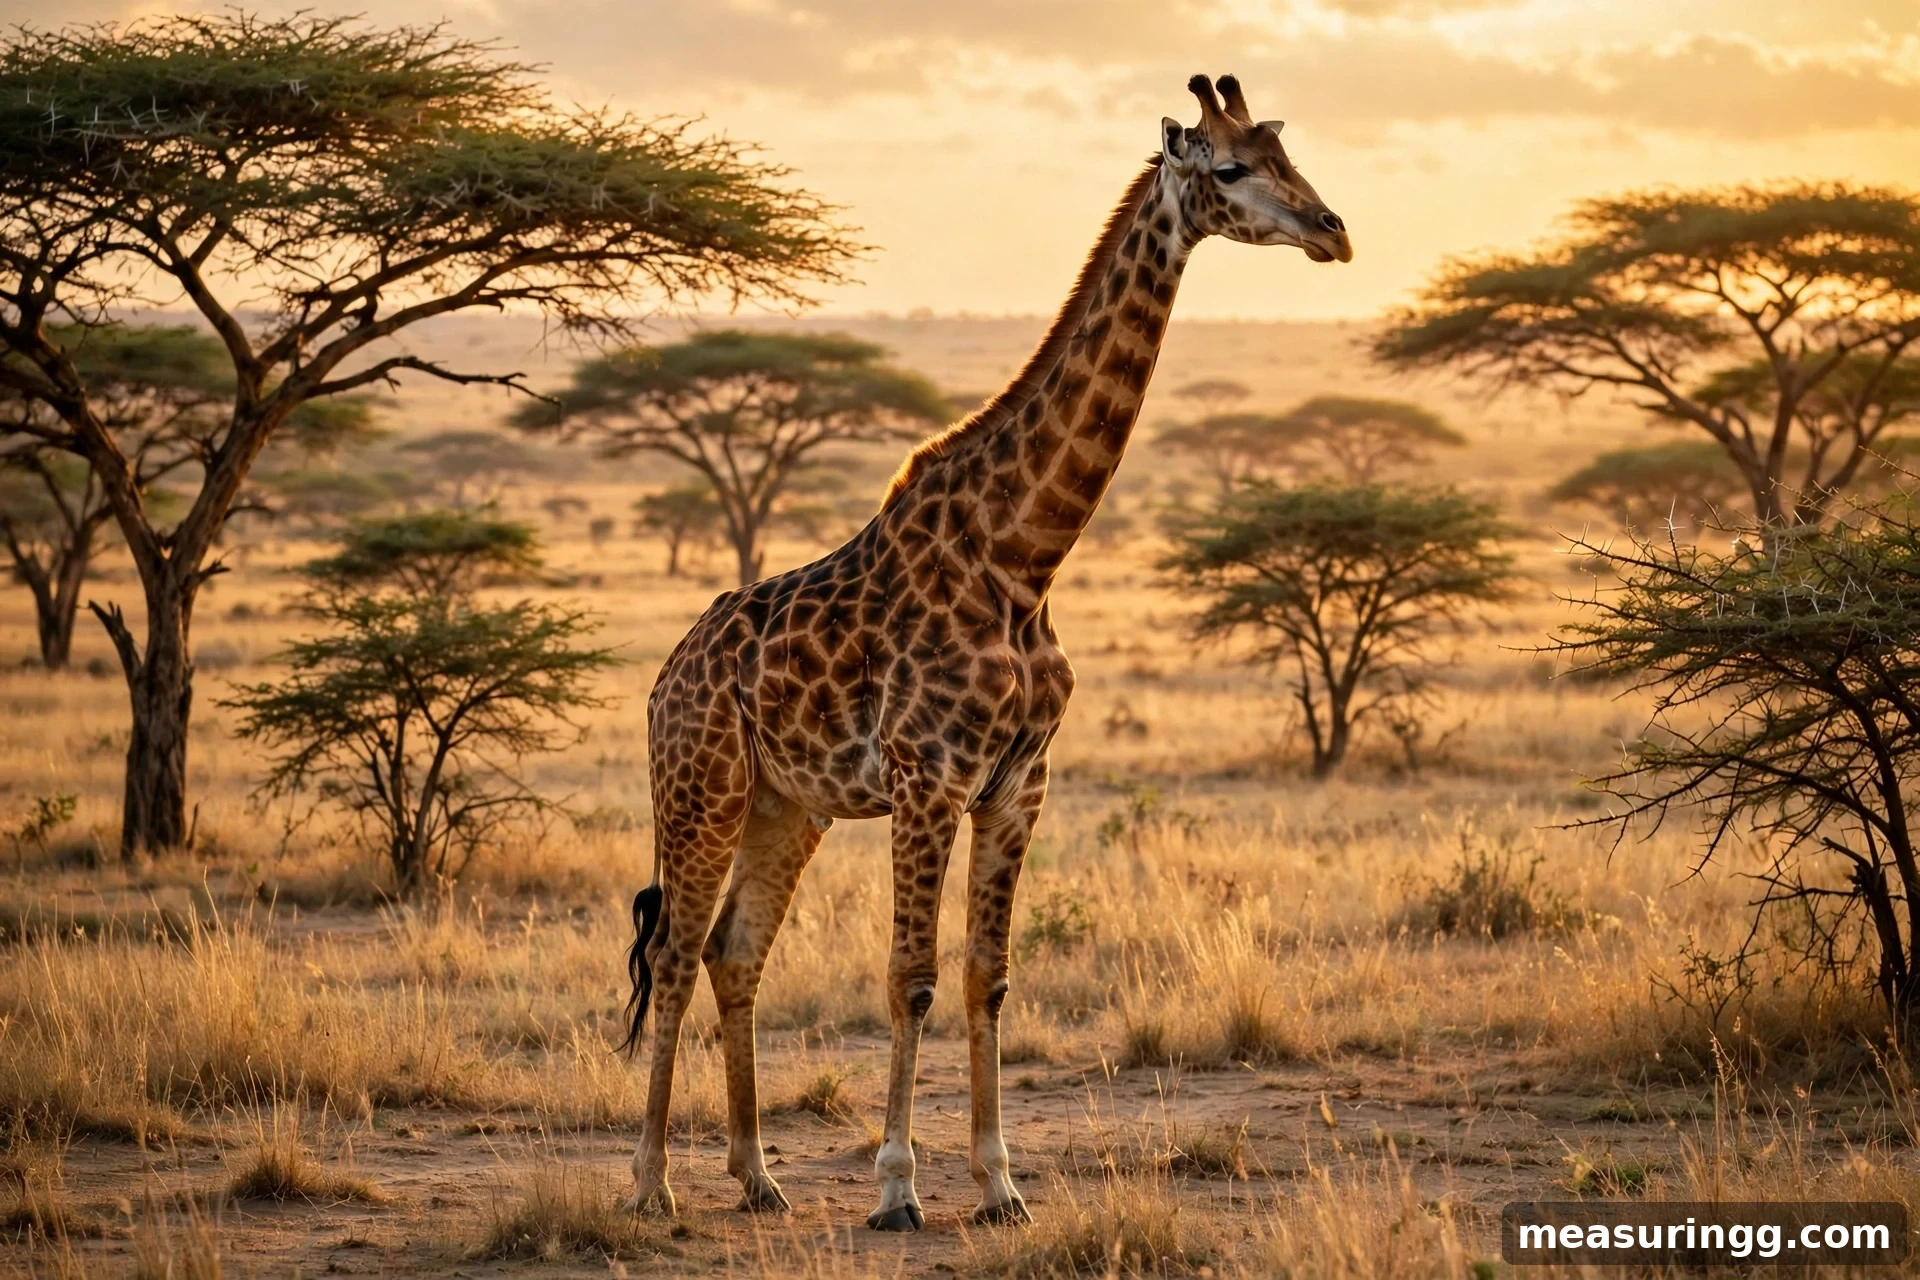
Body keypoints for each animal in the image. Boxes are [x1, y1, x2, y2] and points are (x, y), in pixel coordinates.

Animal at [618, 73, 1352, 1231]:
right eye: (1231, 167)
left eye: (1290, 157)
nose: (1333, 230)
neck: (1024, 556)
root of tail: (665, 676)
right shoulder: (929, 779)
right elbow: (910, 975)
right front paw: (897, 1187)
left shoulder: (1017, 784)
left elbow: (987, 976)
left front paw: (1001, 1182)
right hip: (701, 788)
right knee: (677, 953)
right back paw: (652, 1185)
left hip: (789, 805)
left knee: (735, 952)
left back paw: (757, 1174)